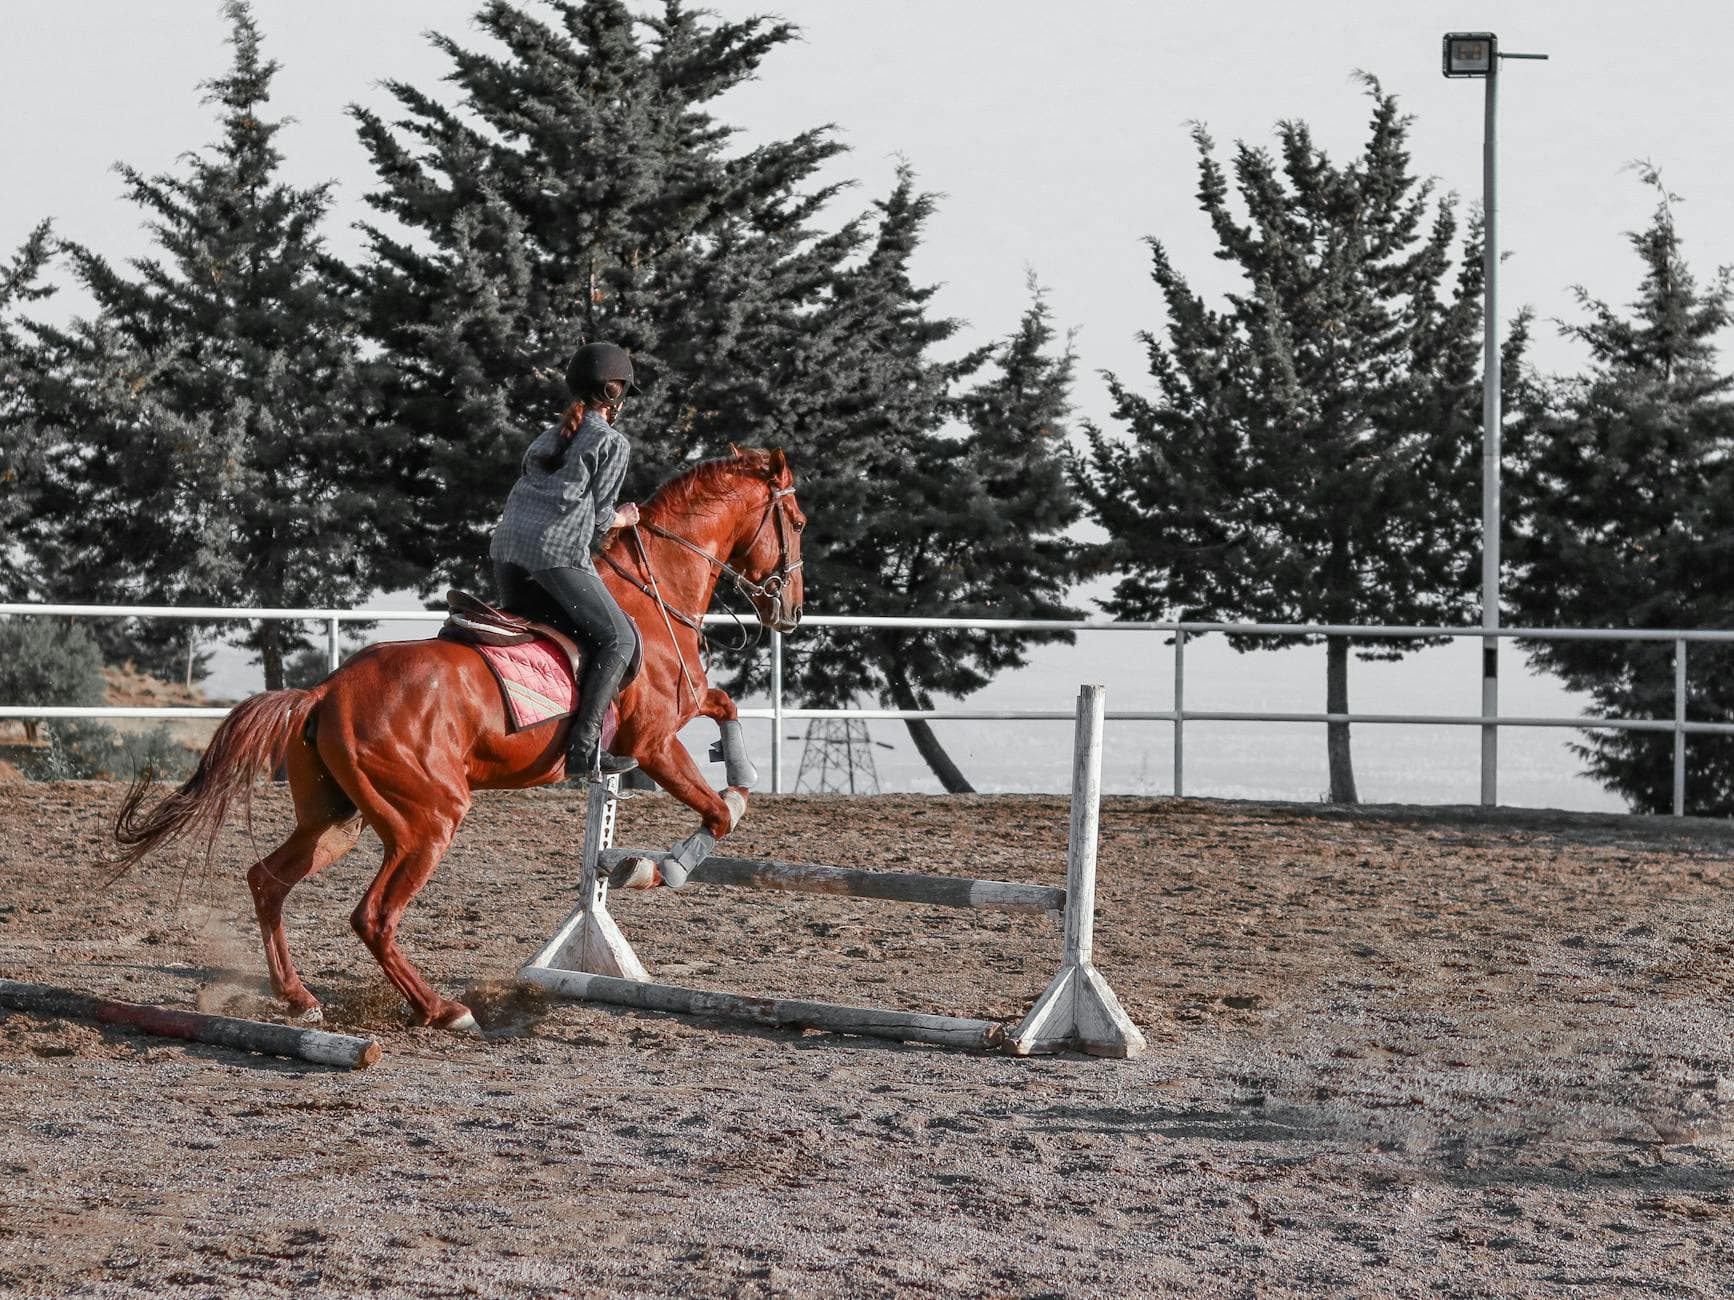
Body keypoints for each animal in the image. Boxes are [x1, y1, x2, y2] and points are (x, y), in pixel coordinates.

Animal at [108, 446, 806, 1031]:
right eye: (796, 521)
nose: (792, 610)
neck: (652, 590)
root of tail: (325, 692)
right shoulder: (655, 742)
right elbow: (716, 815)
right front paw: (657, 867)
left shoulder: (683, 714)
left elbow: (727, 714)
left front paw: (739, 777)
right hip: (429, 819)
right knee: (373, 916)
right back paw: (442, 1009)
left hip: (337, 821)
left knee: (268, 881)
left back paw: (301, 998)